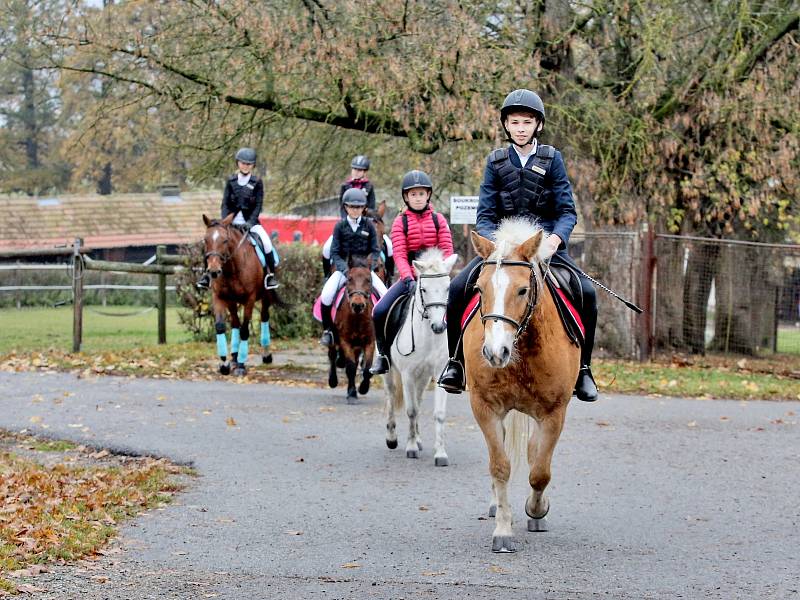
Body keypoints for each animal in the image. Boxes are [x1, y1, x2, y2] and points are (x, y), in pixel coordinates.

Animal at [202, 213, 276, 376]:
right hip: (232, 302)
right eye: (205, 240)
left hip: (266, 297)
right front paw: (224, 364)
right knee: (235, 323)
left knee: (264, 318)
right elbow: (220, 327)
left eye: (225, 240)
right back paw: (234, 359)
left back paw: (266, 355)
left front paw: (241, 366)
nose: (214, 271)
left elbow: (244, 330)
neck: (232, 269)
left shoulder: (250, 299)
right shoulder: (219, 297)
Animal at [328, 254, 376, 404]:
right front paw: (352, 394)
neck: (357, 317)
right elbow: (350, 367)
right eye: (349, 278)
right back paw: (333, 380)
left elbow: (367, 368)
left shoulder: (370, 342)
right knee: (332, 355)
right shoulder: (345, 341)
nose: (357, 305)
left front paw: (363, 388)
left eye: (369, 279)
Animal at [386, 246, 460, 466]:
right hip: (389, 372)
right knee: (391, 396)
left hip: (423, 377)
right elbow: (411, 410)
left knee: (417, 400)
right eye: (424, 289)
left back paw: (418, 439)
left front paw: (440, 454)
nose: (439, 327)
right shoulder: (407, 375)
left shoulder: (438, 374)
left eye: (447, 288)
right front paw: (410, 448)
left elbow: (438, 413)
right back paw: (392, 438)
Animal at [462, 219, 580, 552]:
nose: (494, 353)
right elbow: (500, 466)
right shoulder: (485, 408)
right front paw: (503, 530)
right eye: (479, 289)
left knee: (534, 453)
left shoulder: (554, 413)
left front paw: (536, 509)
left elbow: (540, 472)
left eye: (523, 289)